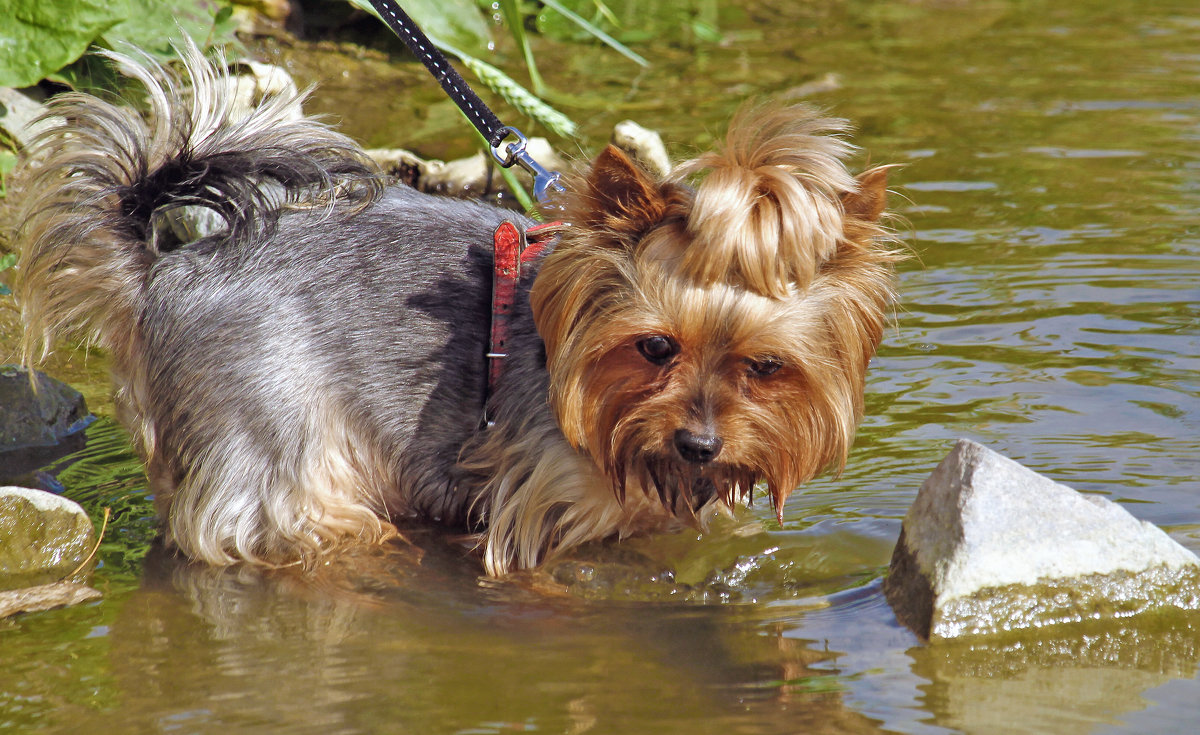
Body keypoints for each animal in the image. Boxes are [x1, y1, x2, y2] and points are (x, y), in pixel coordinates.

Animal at [9, 45, 897, 576]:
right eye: (654, 347)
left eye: (766, 365)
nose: (700, 444)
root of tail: (160, 272)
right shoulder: (542, 507)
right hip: (279, 457)